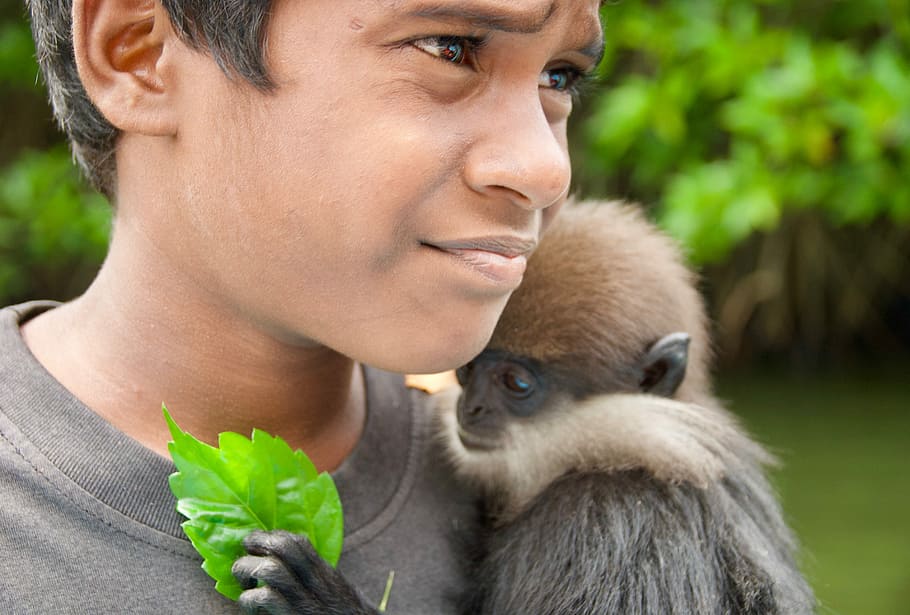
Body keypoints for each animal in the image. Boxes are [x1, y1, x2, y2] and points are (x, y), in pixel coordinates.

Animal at [231, 200, 816, 615]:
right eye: (468, 367)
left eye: (515, 383)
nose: (470, 409)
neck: (633, 450)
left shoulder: (604, 523)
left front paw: (324, 604)